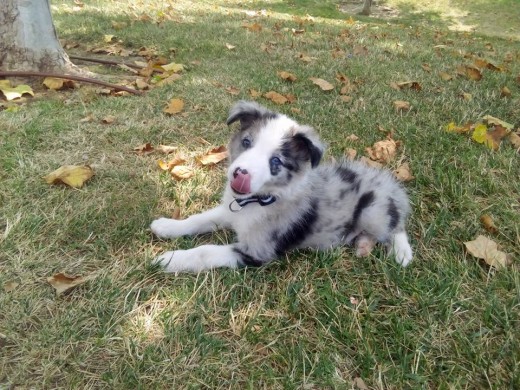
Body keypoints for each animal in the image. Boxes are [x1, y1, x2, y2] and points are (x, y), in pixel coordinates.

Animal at [149, 102, 410, 272]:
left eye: (275, 161)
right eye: (246, 142)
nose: (239, 174)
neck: (259, 201)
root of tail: (386, 180)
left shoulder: (257, 251)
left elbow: (206, 251)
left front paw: (170, 260)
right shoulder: (230, 211)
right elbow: (200, 219)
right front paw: (167, 226)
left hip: (373, 210)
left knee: (396, 227)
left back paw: (402, 253)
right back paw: (363, 246)